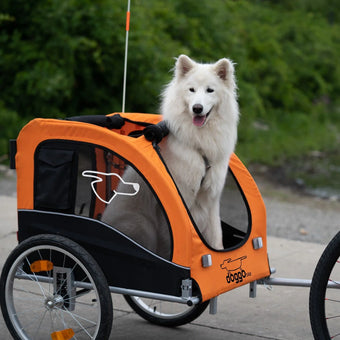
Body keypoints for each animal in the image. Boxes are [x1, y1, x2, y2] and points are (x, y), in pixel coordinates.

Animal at [102, 55, 238, 256]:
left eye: (210, 90)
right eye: (191, 89)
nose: (197, 108)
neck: (199, 146)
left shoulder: (211, 201)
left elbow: (216, 237)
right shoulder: (177, 204)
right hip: (142, 224)